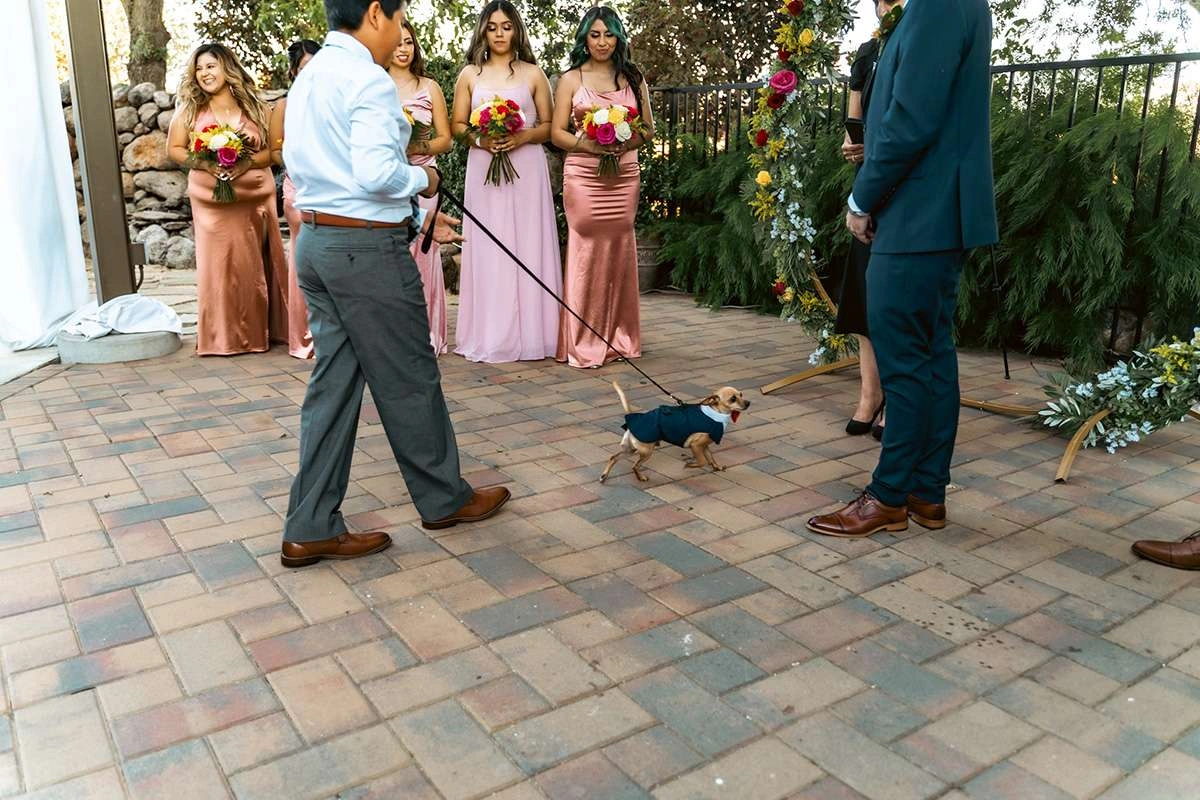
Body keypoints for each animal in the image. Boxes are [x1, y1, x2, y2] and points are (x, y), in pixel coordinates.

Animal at [601, 382, 750, 483]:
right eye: (733, 399)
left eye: (741, 394)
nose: (748, 403)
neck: (716, 414)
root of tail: (632, 416)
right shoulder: (696, 446)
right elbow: (702, 461)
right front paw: (690, 465)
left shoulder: (705, 446)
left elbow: (710, 458)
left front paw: (717, 467)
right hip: (646, 451)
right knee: (634, 466)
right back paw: (641, 477)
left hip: (631, 449)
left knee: (614, 457)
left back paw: (604, 476)